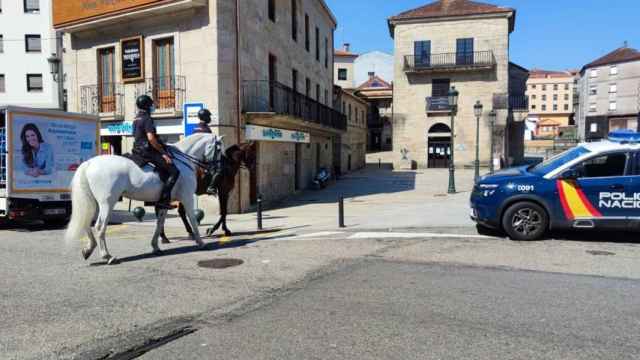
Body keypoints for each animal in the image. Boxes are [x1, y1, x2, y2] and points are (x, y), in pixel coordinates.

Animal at [65, 133, 220, 264]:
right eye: (219, 149)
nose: (217, 170)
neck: (183, 162)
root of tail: (89, 163)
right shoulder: (187, 197)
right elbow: (193, 219)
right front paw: (200, 242)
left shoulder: (165, 202)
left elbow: (159, 223)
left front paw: (155, 246)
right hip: (107, 203)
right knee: (99, 226)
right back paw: (107, 256)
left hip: (94, 203)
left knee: (87, 221)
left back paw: (88, 249)